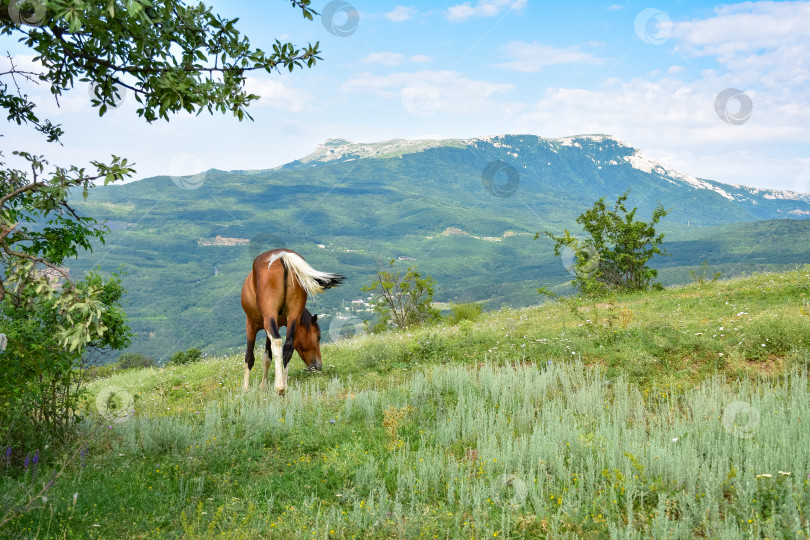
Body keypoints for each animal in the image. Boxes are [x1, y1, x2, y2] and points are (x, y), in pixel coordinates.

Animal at [238, 248, 342, 392]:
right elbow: (267, 357)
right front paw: (263, 384)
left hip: (269, 316)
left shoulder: (252, 325)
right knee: (288, 347)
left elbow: (250, 357)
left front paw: (246, 389)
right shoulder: (271, 326)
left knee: (277, 343)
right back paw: (284, 385)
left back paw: (280, 387)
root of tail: (283, 257)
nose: (318, 366)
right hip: (293, 314)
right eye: (318, 337)